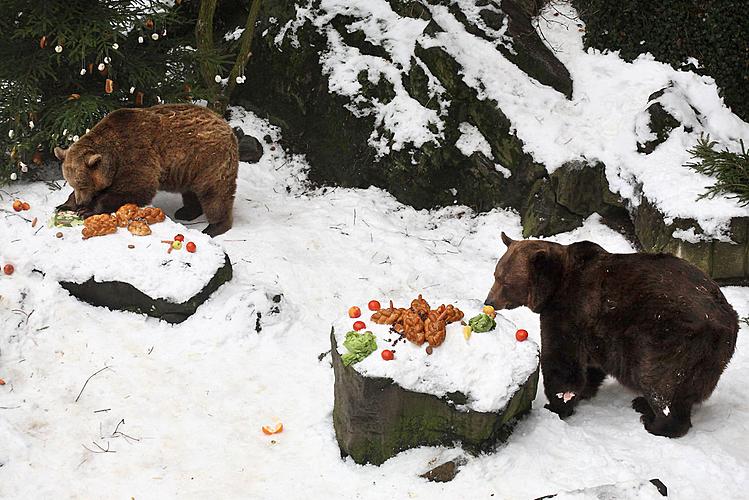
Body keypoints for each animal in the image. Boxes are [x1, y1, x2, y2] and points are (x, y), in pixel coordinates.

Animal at [54, 102, 238, 237]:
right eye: (72, 184)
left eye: (83, 185)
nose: (81, 202)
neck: (114, 156)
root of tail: (227, 126)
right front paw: (65, 205)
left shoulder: (135, 156)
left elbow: (136, 188)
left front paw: (87, 210)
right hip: (190, 167)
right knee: (191, 191)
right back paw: (186, 211)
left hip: (209, 160)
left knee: (214, 194)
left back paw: (214, 226)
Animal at [486, 234, 736, 438]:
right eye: (496, 274)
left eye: (505, 281)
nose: (490, 300)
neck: (555, 286)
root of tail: (725, 321)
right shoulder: (595, 331)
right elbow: (589, 364)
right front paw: (584, 391)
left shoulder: (568, 311)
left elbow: (562, 362)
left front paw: (556, 406)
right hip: (709, 360)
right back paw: (644, 404)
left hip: (669, 339)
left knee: (660, 382)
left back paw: (655, 422)